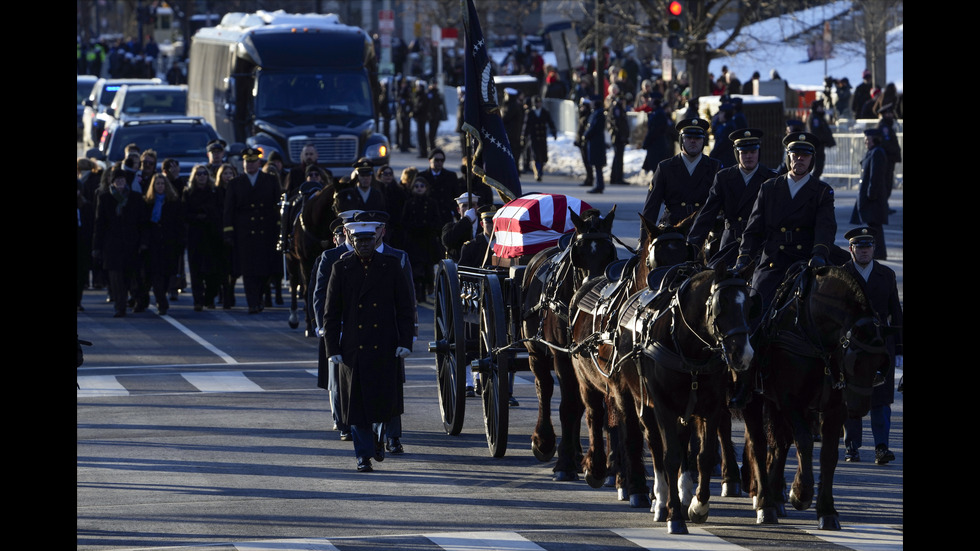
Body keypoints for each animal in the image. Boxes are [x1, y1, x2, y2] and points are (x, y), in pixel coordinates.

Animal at [284, 187, 336, 336]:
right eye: (336, 203)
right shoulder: (305, 262)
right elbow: (309, 290)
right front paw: (308, 326)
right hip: (291, 259)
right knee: (294, 280)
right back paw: (294, 318)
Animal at [520, 207, 620, 484]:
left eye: (610, 254)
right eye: (578, 256)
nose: (594, 293)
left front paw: (609, 467)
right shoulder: (562, 355)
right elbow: (568, 405)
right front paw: (564, 462)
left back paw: (576, 454)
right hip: (536, 352)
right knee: (544, 388)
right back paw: (545, 442)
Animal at [740, 266, 900, 532]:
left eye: (881, 363)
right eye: (854, 360)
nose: (859, 408)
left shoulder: (834, 408)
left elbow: (828, 454)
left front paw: (826, 510)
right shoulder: (789, 400)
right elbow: (804, 441)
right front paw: (801, 494)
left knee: (779, 444)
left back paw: (775, 496)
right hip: (754, 400)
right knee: (759, 445)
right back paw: (765, 503)